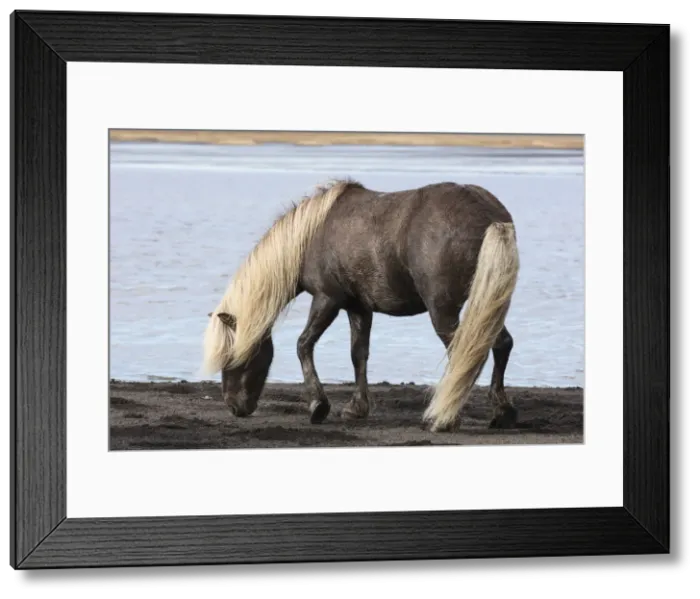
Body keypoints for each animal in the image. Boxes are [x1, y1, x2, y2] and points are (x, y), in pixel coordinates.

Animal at [202, 178, 520, 433]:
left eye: (230, 356)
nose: (234, 406)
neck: (312, 234)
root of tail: (489, 216)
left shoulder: (326, 299)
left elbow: (304, 344)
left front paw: (318, 406)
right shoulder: (358, 308)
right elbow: (358, 354)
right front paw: (356, 408)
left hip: (443, 310)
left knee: (463, 355)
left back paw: (443, 419)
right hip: (486, 305)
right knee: (500, 344)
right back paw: (502, 412)